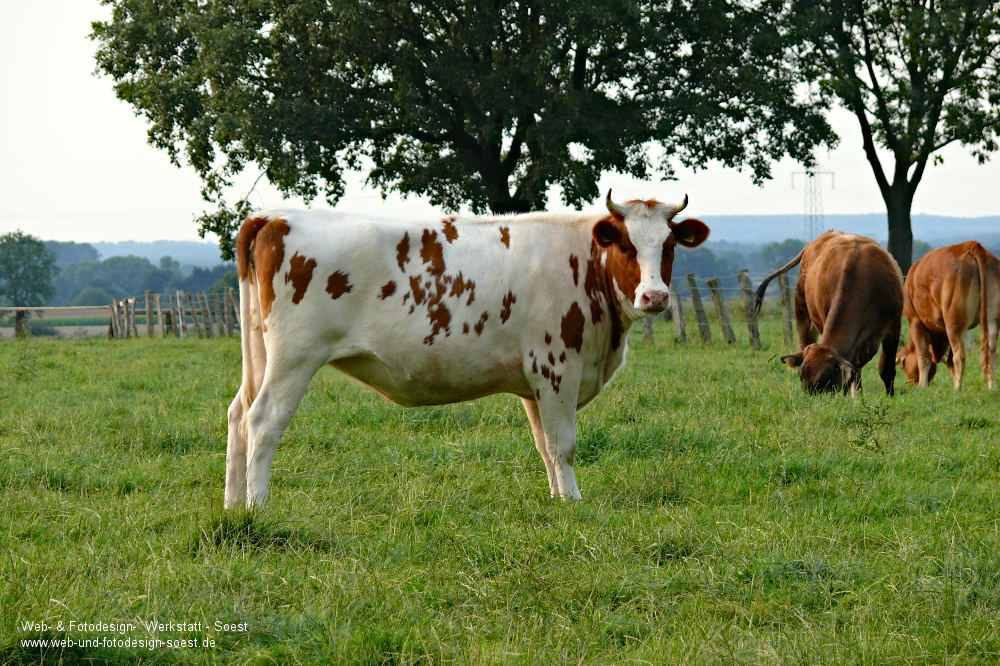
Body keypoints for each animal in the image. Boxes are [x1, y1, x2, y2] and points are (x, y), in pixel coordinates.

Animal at [227, 189, 712, 506]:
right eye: (627, 245)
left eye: (669, 245)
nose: (655, 297)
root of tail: (273, 216)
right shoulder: (557, 367)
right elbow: (564, 443)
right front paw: (574, 502)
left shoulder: (535, 381)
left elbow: (545, 445)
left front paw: (558, 500)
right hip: (294, 357)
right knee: (263, 421)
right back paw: (257, 506)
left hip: (260, 354)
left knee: (237, 415)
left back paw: (233, 507)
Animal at [752, 230, 908, 394]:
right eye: (801, 377)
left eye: (825, 378)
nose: (809, 397)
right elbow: (853, 373)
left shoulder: (893, 328)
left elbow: (886, 370)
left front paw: (889, 396)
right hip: (802, 310)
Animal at [896, 241, 996, 390]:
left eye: (903, 367)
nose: (910, 384)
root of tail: (969, 245)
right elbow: (949, 362)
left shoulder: (915, 322)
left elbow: (924, 357)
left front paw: (922, 386)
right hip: (991, 320)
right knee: (991, 351)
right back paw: (991, 386)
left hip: (954, 324)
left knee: (959, 356)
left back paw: (957, 389)